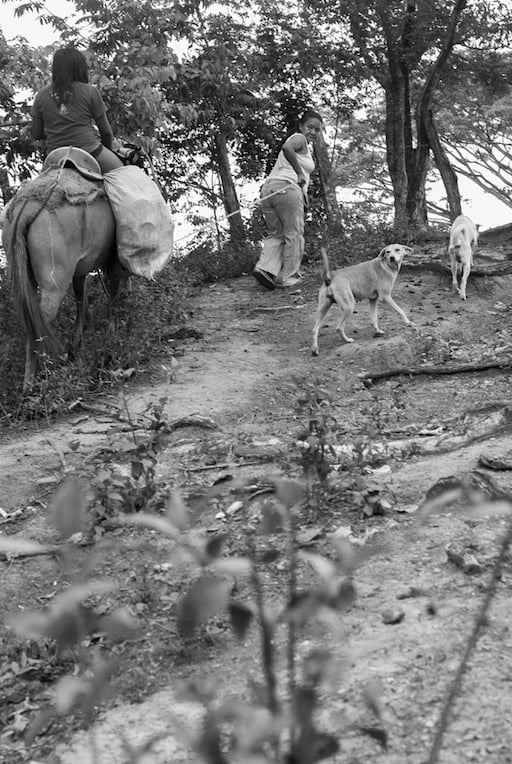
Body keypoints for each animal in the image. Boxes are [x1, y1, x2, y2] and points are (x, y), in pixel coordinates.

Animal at [2, 161, 126, 390]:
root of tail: (25, 207)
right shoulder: (112, 258)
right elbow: (112, 292)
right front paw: (111, 334)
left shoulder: (80, 266)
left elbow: (80, 296)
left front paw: (79, 341)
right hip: (55, 270)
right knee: (42, 317)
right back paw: (45, 374)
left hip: (18, 262)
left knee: (29, 316)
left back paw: (30, 382)